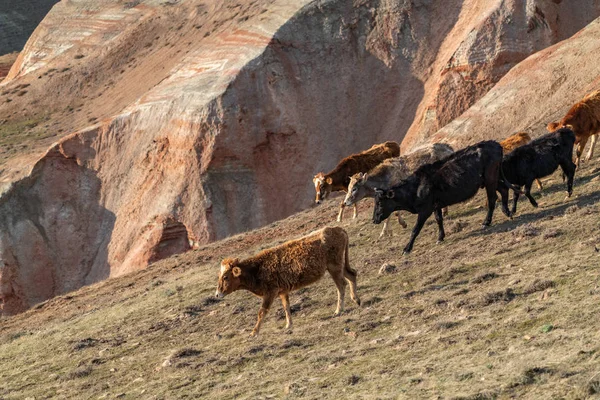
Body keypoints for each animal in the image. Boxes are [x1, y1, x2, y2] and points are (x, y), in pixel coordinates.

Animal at [214, 227, 358, 336]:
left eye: (225, 277)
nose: (217, 294)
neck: (256, 269)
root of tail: (337, 229)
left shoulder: (270, 292)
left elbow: (262, 312)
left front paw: (254, 332)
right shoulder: (283, 291)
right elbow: (286, 307)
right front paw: (289, 325)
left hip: (334, 266)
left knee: (341, 285)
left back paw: (339, 310)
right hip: (339, 266)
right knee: (352, 275)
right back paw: (356, 300)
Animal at [372, 141, 512, 253]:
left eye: (380, 202)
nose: (374, 219)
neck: (415, 187)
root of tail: (495, 144)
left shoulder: (425, 210)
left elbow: (416, 229)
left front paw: (407, 248)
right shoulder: (436, 205)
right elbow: (439, 219)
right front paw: (440, 237)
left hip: (490, 179)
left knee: (492, 199)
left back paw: (486, 222)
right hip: (492, 179)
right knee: (504, 190)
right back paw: (507, 212)